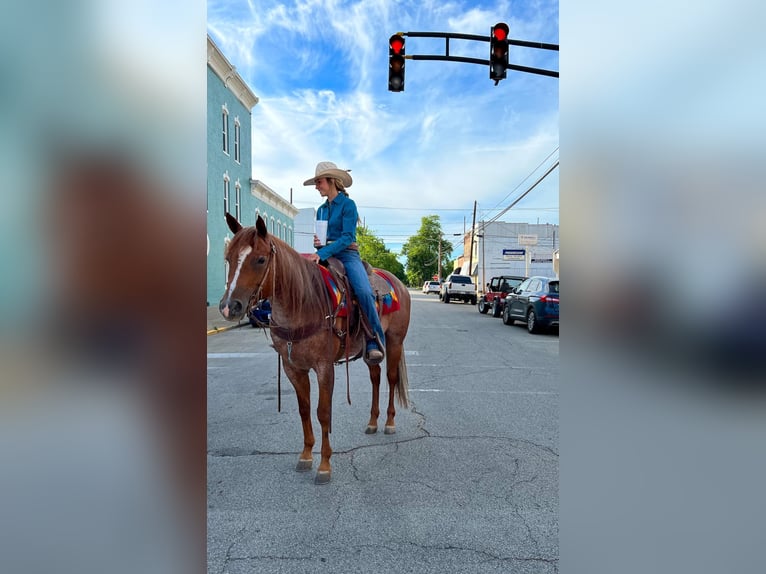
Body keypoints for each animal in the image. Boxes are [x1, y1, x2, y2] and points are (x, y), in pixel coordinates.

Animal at [219, 214, 412, 484]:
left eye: (260, 259)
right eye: (228, 259)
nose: (229, 307)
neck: (303, 302)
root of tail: (399, 284)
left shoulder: (324, 367)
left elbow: (323, 412)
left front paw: (324, 465)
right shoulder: (293, 367)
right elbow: (304, 410)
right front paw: (306, 455)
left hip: (395, 341)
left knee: (391, 378)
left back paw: (389, 422)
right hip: (370, 349)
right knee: (375, 377)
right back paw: (373, 421)